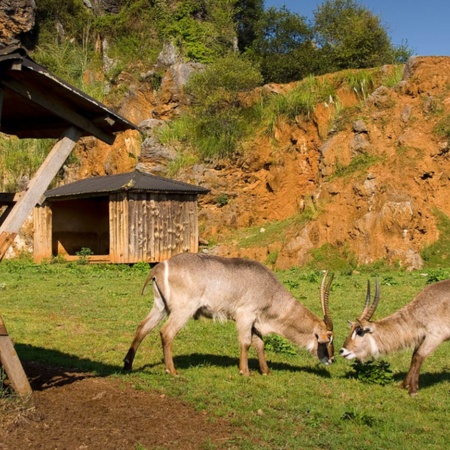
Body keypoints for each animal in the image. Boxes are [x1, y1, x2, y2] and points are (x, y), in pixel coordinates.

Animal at [123, 253, 334, 376]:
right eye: (330, 337)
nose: (331, 359)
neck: (271, 290)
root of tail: (160, 267)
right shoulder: (245, 316)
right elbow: (246, 343)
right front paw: (245, 371)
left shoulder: (255, 321)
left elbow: (259, 344)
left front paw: (265, 371)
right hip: (182, 310)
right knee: (166, 333)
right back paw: (172, 370)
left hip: (160, 307)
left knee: (142, 327)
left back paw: (127, 364)